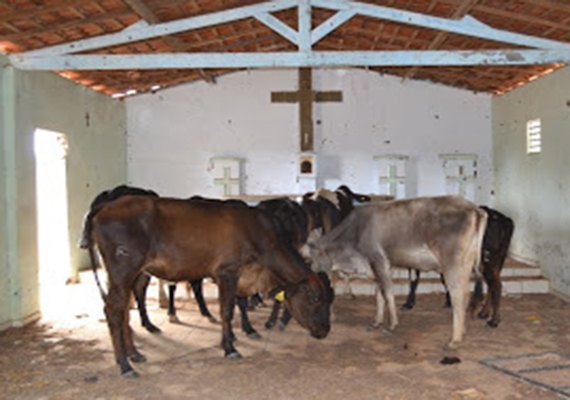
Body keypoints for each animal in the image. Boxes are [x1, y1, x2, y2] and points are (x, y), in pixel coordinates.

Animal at [84, 197, 332, 378]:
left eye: (329, 300)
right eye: (314, 299)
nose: (324, 330)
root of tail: (107, 205)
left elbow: (237, 306)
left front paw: (236, 336)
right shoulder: (227, 272)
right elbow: (227, 310)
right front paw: (230, 348)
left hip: (130, 274)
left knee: (124, 309)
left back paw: (134, 354)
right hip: (123, 269)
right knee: (113, 310)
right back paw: (125, 365)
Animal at [306, 195, 484, 348]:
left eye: (310, 259)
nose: (312, 273)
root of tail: (472, 207)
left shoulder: (378, 261)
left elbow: (388, 293)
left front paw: (391, 325)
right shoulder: (381, 267)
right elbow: (379, 295)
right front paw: (376, 322)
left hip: (451, 264)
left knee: (457, 296)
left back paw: (455, 339)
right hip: (465, 264)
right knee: (465, 294)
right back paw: (462, 331)